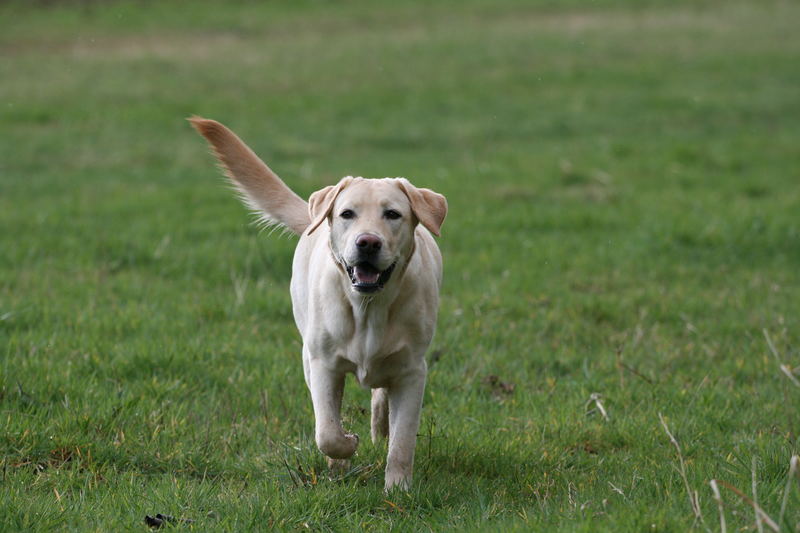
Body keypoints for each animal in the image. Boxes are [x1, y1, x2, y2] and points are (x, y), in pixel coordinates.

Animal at [191, 117, 446, 490]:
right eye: (347, 214)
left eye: (393, 214)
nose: (367, 242)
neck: (368, 308)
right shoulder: (323, 364)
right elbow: (327, 431)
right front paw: (346, 447)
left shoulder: (413, 370)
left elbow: (402, 440)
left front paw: (397, 489)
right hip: (308, 354)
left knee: (382, 398)